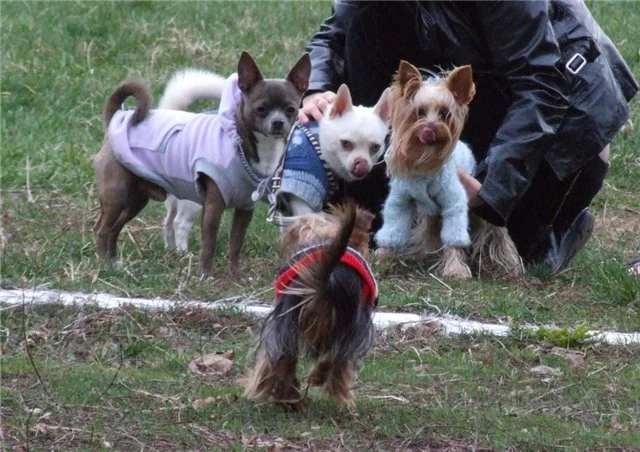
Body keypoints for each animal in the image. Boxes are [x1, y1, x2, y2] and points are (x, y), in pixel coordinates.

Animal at [93, 51, 311, 276]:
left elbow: (236, 243)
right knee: (102, 229)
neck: (242, 144)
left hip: (135, 198)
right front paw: (206, 275)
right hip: (117, 194)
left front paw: (235, 275)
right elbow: (209, 243)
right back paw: (104, 265)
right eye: (260, 109)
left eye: (291, 109)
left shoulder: (245, 209)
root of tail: (116, 119)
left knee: (115, 228)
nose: (278, 122)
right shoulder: (214, 206)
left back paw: (115, 262)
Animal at [242, 201, 377, 411]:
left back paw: (280, 395)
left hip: (283, 324)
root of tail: (330, 280)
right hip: (353, 326)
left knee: (278, 361)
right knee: (337, 360)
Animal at [375, 61, 523, 279]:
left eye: (445, 113)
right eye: (419, 112)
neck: (425, 161)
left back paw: (509, 264)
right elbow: (394, 228)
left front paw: (455, 269)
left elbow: (454, 236)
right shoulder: (401, 200)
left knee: (495, 229)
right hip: (431, 212)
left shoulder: (454, 200)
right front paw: (384, 255)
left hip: (481, 205)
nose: (430, 129)